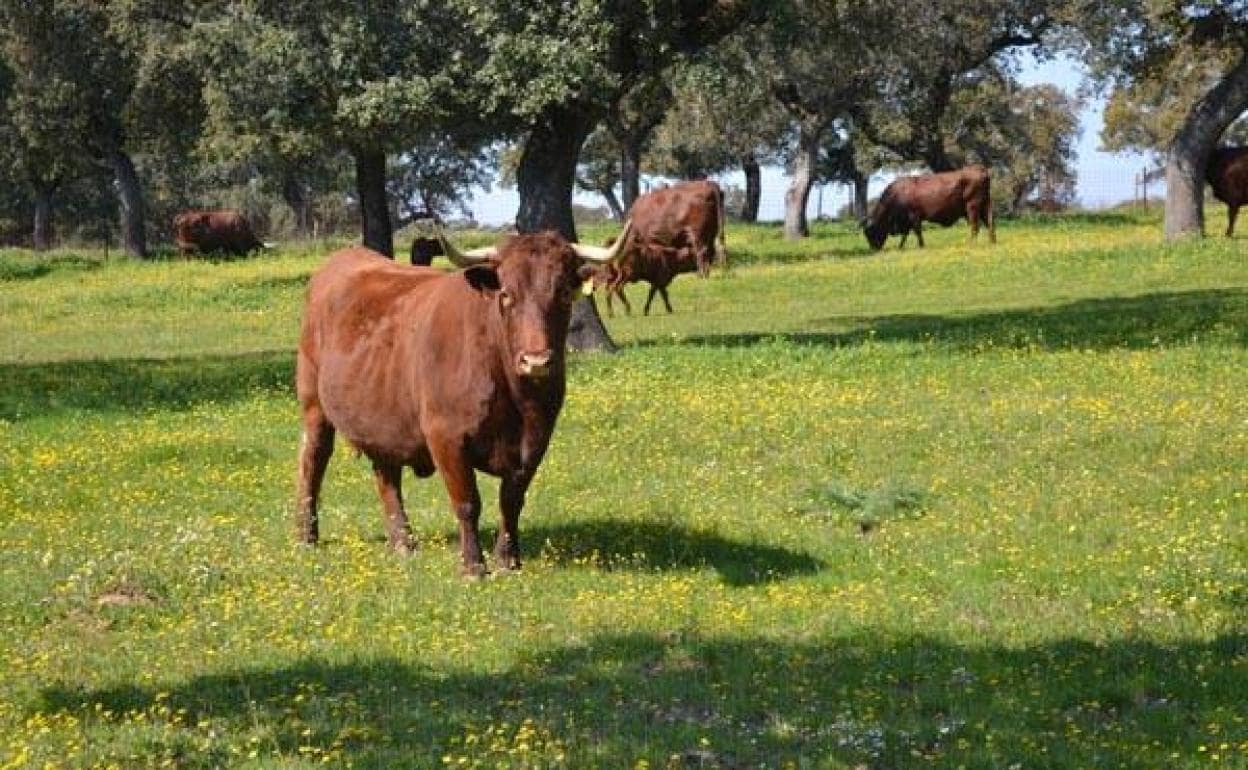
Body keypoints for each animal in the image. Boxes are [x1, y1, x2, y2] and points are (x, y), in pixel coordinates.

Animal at [294, 219, 633, 574]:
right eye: (506, 295)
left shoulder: (536, 441)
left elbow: (511, 502)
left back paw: (403, 543)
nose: (536, 361)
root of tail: (343, 258)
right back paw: (307, 536)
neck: (515, 400)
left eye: (564, 293)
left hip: (379, 419)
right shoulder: (445, 437)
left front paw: (508, 560)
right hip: (314, 405)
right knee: (313, 460)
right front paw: (473, 566)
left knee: (386, 474)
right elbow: (467, 502)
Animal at [863, 164, 998, 249]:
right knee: (990, 223)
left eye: (871, 233)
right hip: (985, 205)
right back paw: (992, 242)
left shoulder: (914, 216)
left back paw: (971, 243)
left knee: (975, 226)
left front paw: (921, 246)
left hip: (972, 207)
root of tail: (980, 169)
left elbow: (917, 232)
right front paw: (900, 247)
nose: (874, 249)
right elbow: (905, 234)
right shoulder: (908, 220)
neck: (897, 194)